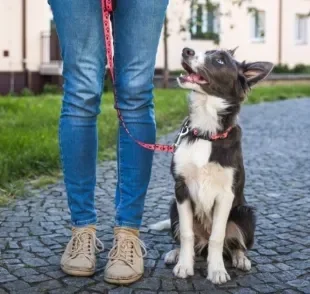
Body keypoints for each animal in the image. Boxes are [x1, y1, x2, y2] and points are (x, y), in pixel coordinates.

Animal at [150, 47, 274, 284]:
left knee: (233, 244)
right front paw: (184, 265)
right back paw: (175, 253)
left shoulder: (226, 194)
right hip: (173, 206)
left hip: (246, 213)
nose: (186, 50)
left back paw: (240, 258)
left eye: (220, 60)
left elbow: (218, 236)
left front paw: (216, 270)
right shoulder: (181, 189)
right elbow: (187, 234)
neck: (206, 133)